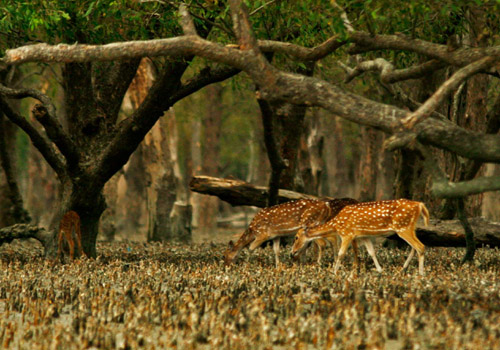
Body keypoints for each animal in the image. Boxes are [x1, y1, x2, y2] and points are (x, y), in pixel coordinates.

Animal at [224, 198, 360, 266]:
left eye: (225, 255)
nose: (226, 266)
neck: (252, 230)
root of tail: (326, 205)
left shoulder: (263, 234)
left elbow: (250, 248)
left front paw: (246, 265)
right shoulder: (275, 235)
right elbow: (276, 250)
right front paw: (278, 266)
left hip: (311, 223)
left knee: (324, 243)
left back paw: (318, 263)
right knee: (330, 240)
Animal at [292, 200, 430, 276]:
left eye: (296, 237)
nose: (292, 252)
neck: (336, 224)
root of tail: (420, 205)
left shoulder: (347, 233)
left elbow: (341, 254)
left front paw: (334, 272)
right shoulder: (363, 235)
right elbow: (371, 252)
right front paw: (380, 270)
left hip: (403, 227)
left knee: (420, 246)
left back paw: (421, 274)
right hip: (409, 227)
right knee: (415, 247)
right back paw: (403, 270)